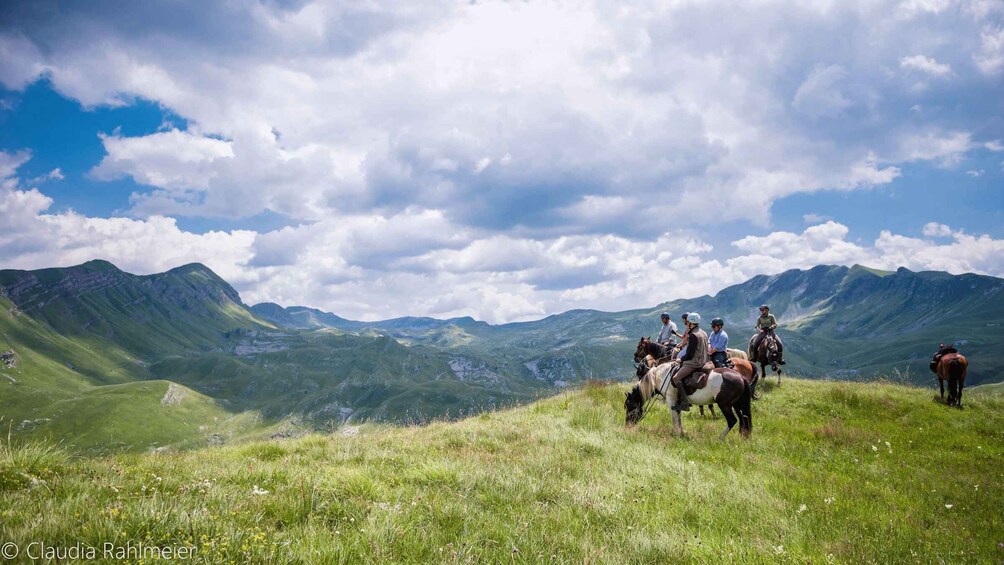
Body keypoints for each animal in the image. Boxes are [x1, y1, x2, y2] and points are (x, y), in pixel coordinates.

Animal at [622, 365, 750, 439]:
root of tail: (741, 377)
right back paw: (743, 437)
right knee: (743, 420)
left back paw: (719, 439)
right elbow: (678, 417)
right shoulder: (677, 403)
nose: (627, 425)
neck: (660, 376)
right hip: (737, 405)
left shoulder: (671, 400)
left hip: (725, 405)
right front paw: (681, 433)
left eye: (629, 405)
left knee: (732, 421)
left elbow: (674, 417)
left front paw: (676, 434)